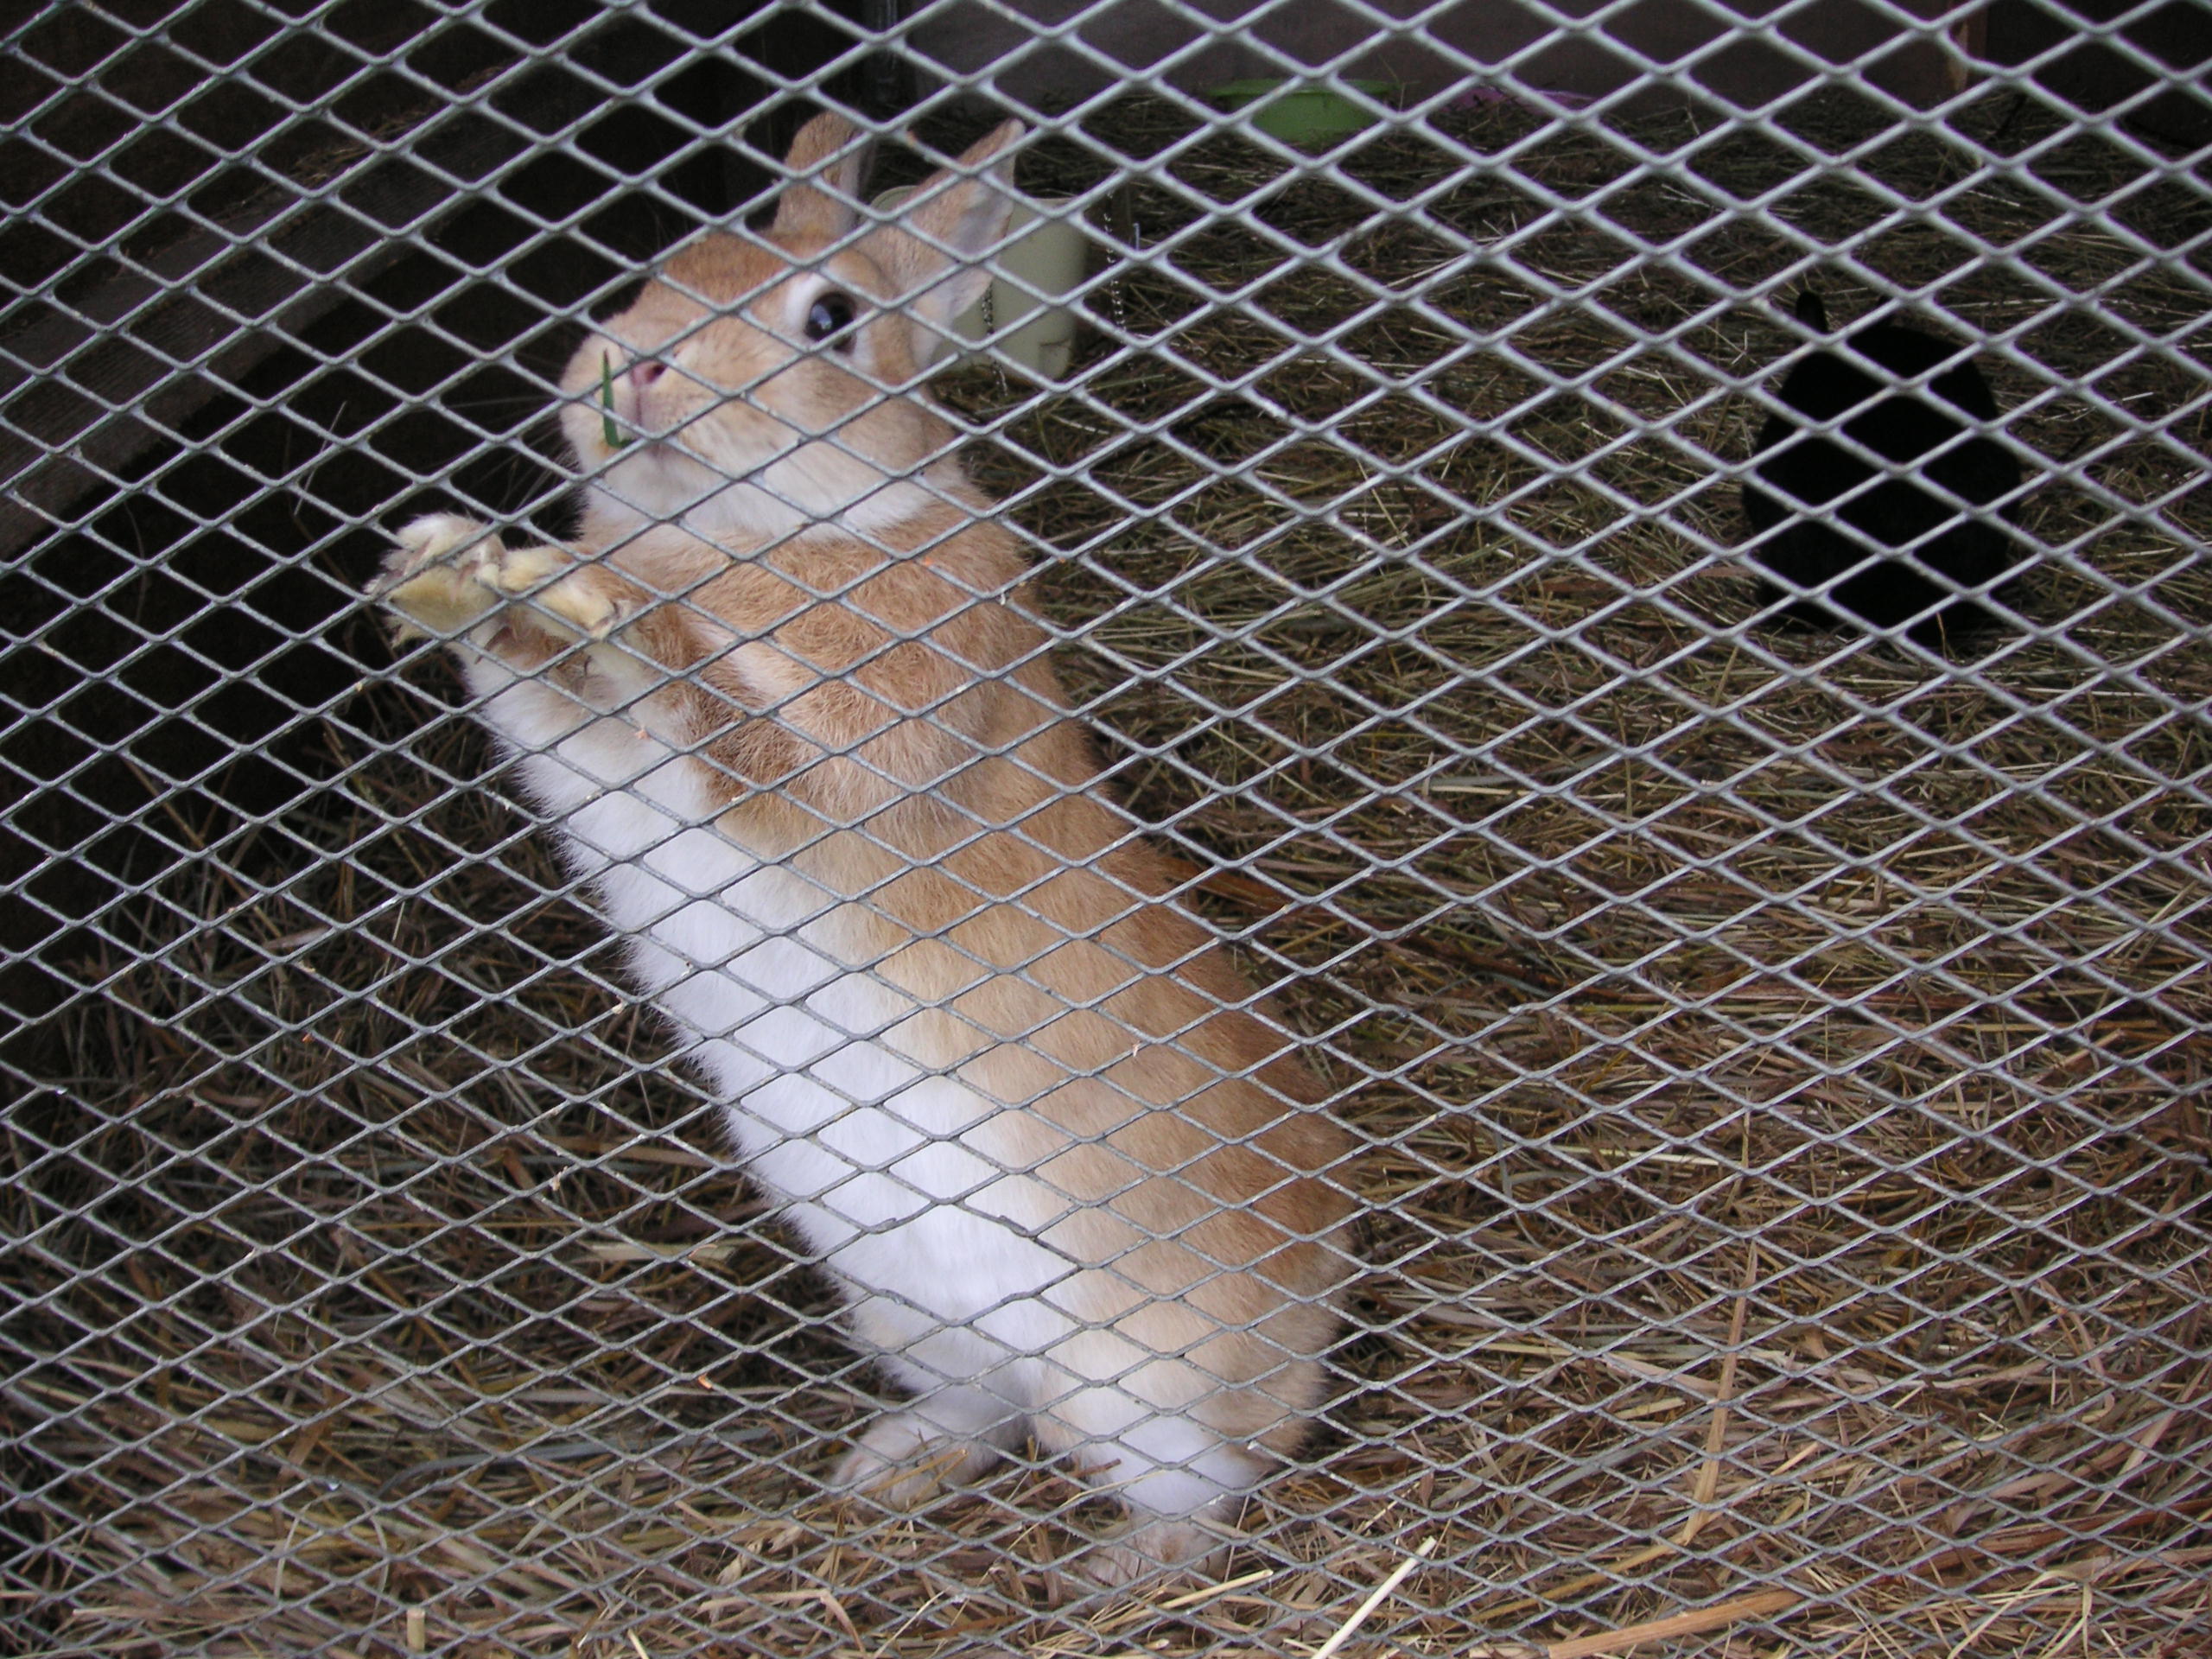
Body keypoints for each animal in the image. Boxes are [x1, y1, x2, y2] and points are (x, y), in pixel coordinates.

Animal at [366, 113, 1344, 1583]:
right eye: (661, 269)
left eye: (830, 319)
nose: (633, 365)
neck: (767, 531)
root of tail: (1317, 1329)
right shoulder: (589, 766)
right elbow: (547, 693)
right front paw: (451, 566)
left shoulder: (860, 740)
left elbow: (722, 717)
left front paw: (612, 614)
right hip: (905, 1314)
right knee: (983, 1411)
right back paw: (883, 1475)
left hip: (1130, 1381)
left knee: (1203, 1482)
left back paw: (1126, 1572)